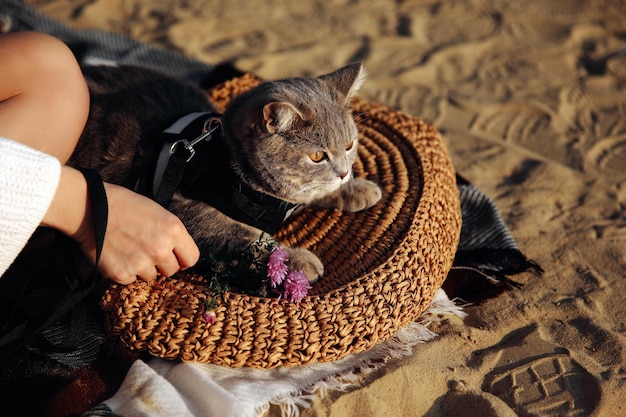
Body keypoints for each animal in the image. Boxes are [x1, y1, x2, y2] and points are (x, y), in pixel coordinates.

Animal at [69, 62, 380, 282]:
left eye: (349, 145)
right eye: (317, 156)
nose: (343, 173)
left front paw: (357, 188)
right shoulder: (187, 211)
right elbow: (252, 240)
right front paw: (298, 261)